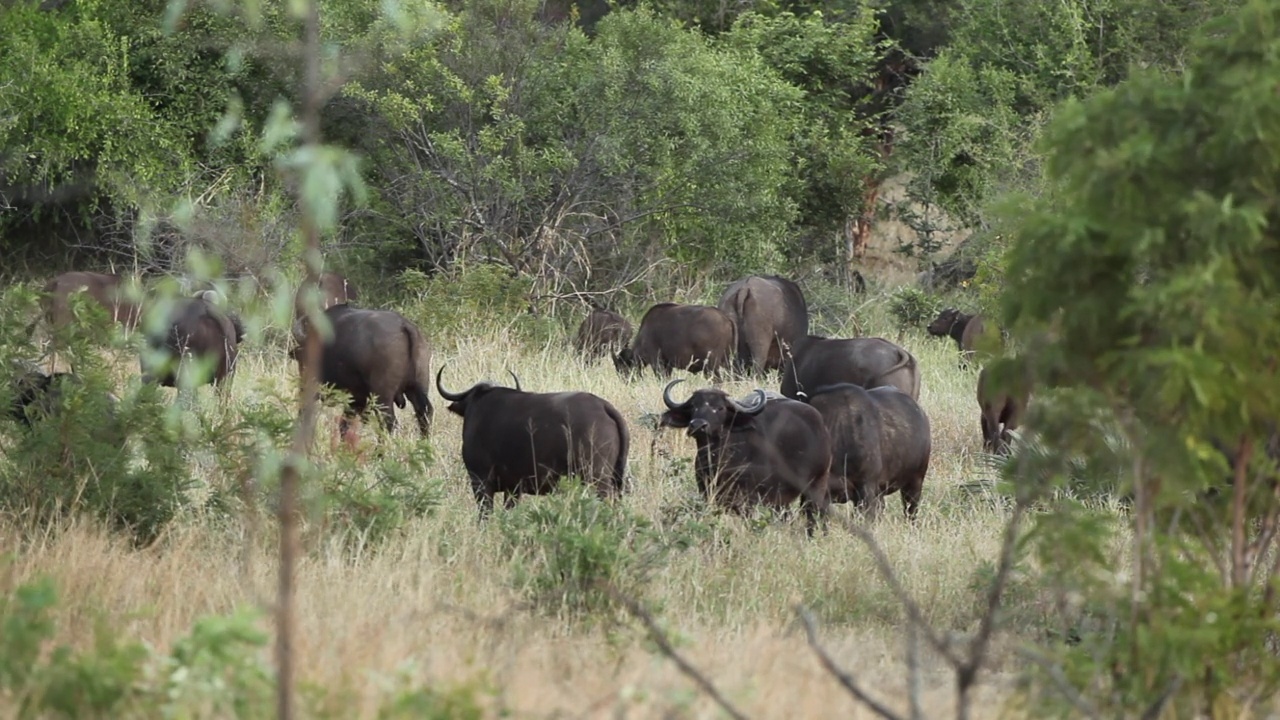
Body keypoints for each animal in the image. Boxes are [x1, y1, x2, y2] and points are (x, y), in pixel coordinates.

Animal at [290, 301, 435, 438]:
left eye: (302, 360)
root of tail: (404, 325)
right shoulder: (355, 399)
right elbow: (345, 425)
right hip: (418, 388)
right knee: (424, 415)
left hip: (382, 397)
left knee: (388, 423)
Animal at [660, 376, 829, 532]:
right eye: (694, 406)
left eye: (720, 408)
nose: (697, 425)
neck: (718, 459)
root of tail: (820, 425)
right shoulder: (707, 492)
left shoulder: (749, 499)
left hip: (816, 485)